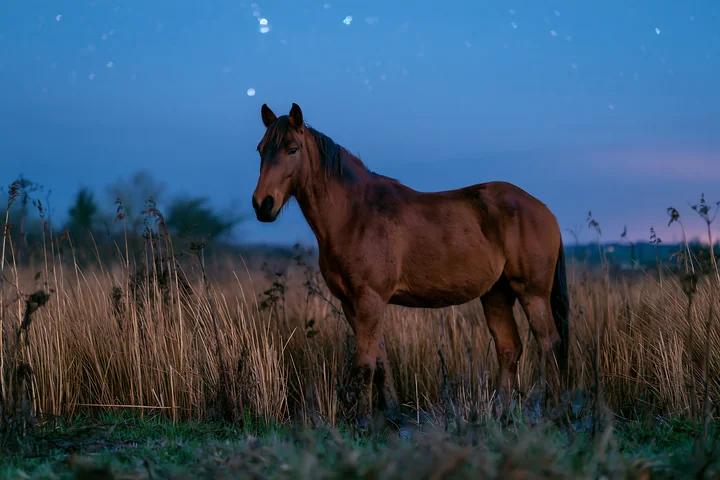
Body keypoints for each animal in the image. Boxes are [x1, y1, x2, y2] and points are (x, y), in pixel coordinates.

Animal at [251, 102, 570, 430]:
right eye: (261, 149)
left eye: (292, 149)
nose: (263, 204)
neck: (354, 215)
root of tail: (544, 211)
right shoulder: (351, 303)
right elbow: (379, 360)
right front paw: (391, 414)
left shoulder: (370, 300)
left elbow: (365, 364)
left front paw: (364, 421)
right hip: (496, 293)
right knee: (509, 349)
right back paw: (501, 414)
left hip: (532, 294)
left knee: (550, 344)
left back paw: (555, 413)